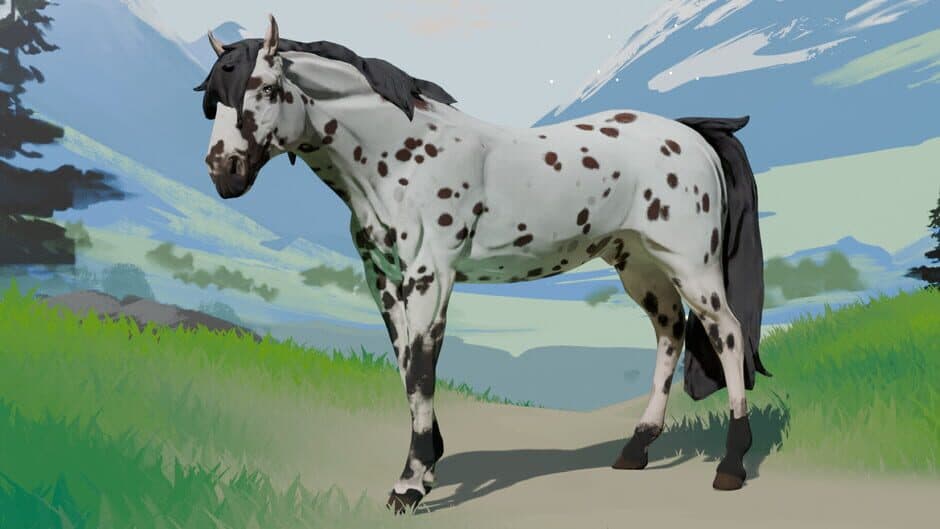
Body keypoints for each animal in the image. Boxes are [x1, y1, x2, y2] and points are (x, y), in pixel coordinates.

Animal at [195, 15, 771, 514]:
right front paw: (428, 465)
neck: (400, 157)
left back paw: (731, 465)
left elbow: (422, 369)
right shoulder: (384, 280)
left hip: (692, 264)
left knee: (726, 333)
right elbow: (406, 366)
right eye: (213, 100)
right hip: (639, 265)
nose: (224, 171)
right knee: (670, 333)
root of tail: (689, 135)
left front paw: (409, 485)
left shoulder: (430, 277)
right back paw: (635, 450)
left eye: (266, 89)